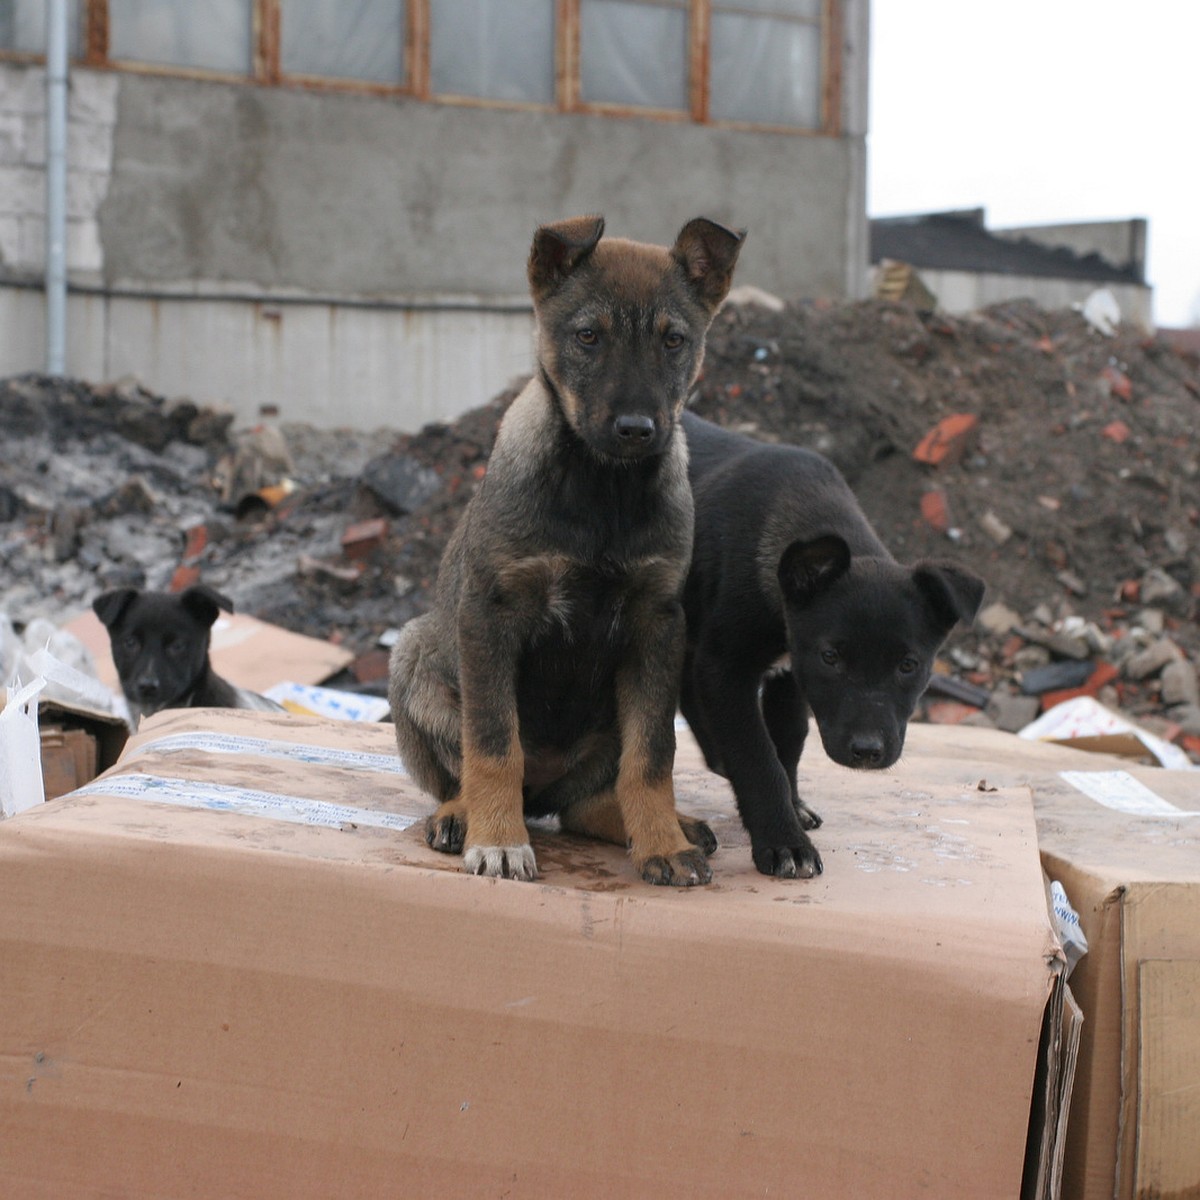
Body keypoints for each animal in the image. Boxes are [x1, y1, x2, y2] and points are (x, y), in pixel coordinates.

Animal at [681, 417, 988, 878]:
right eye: (831, 658)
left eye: (908, 665)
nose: (866, 752)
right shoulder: (726, 668)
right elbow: (758, 757)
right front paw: (784, 841)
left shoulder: (790, 673)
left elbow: (789, 739)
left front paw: (793, 805)